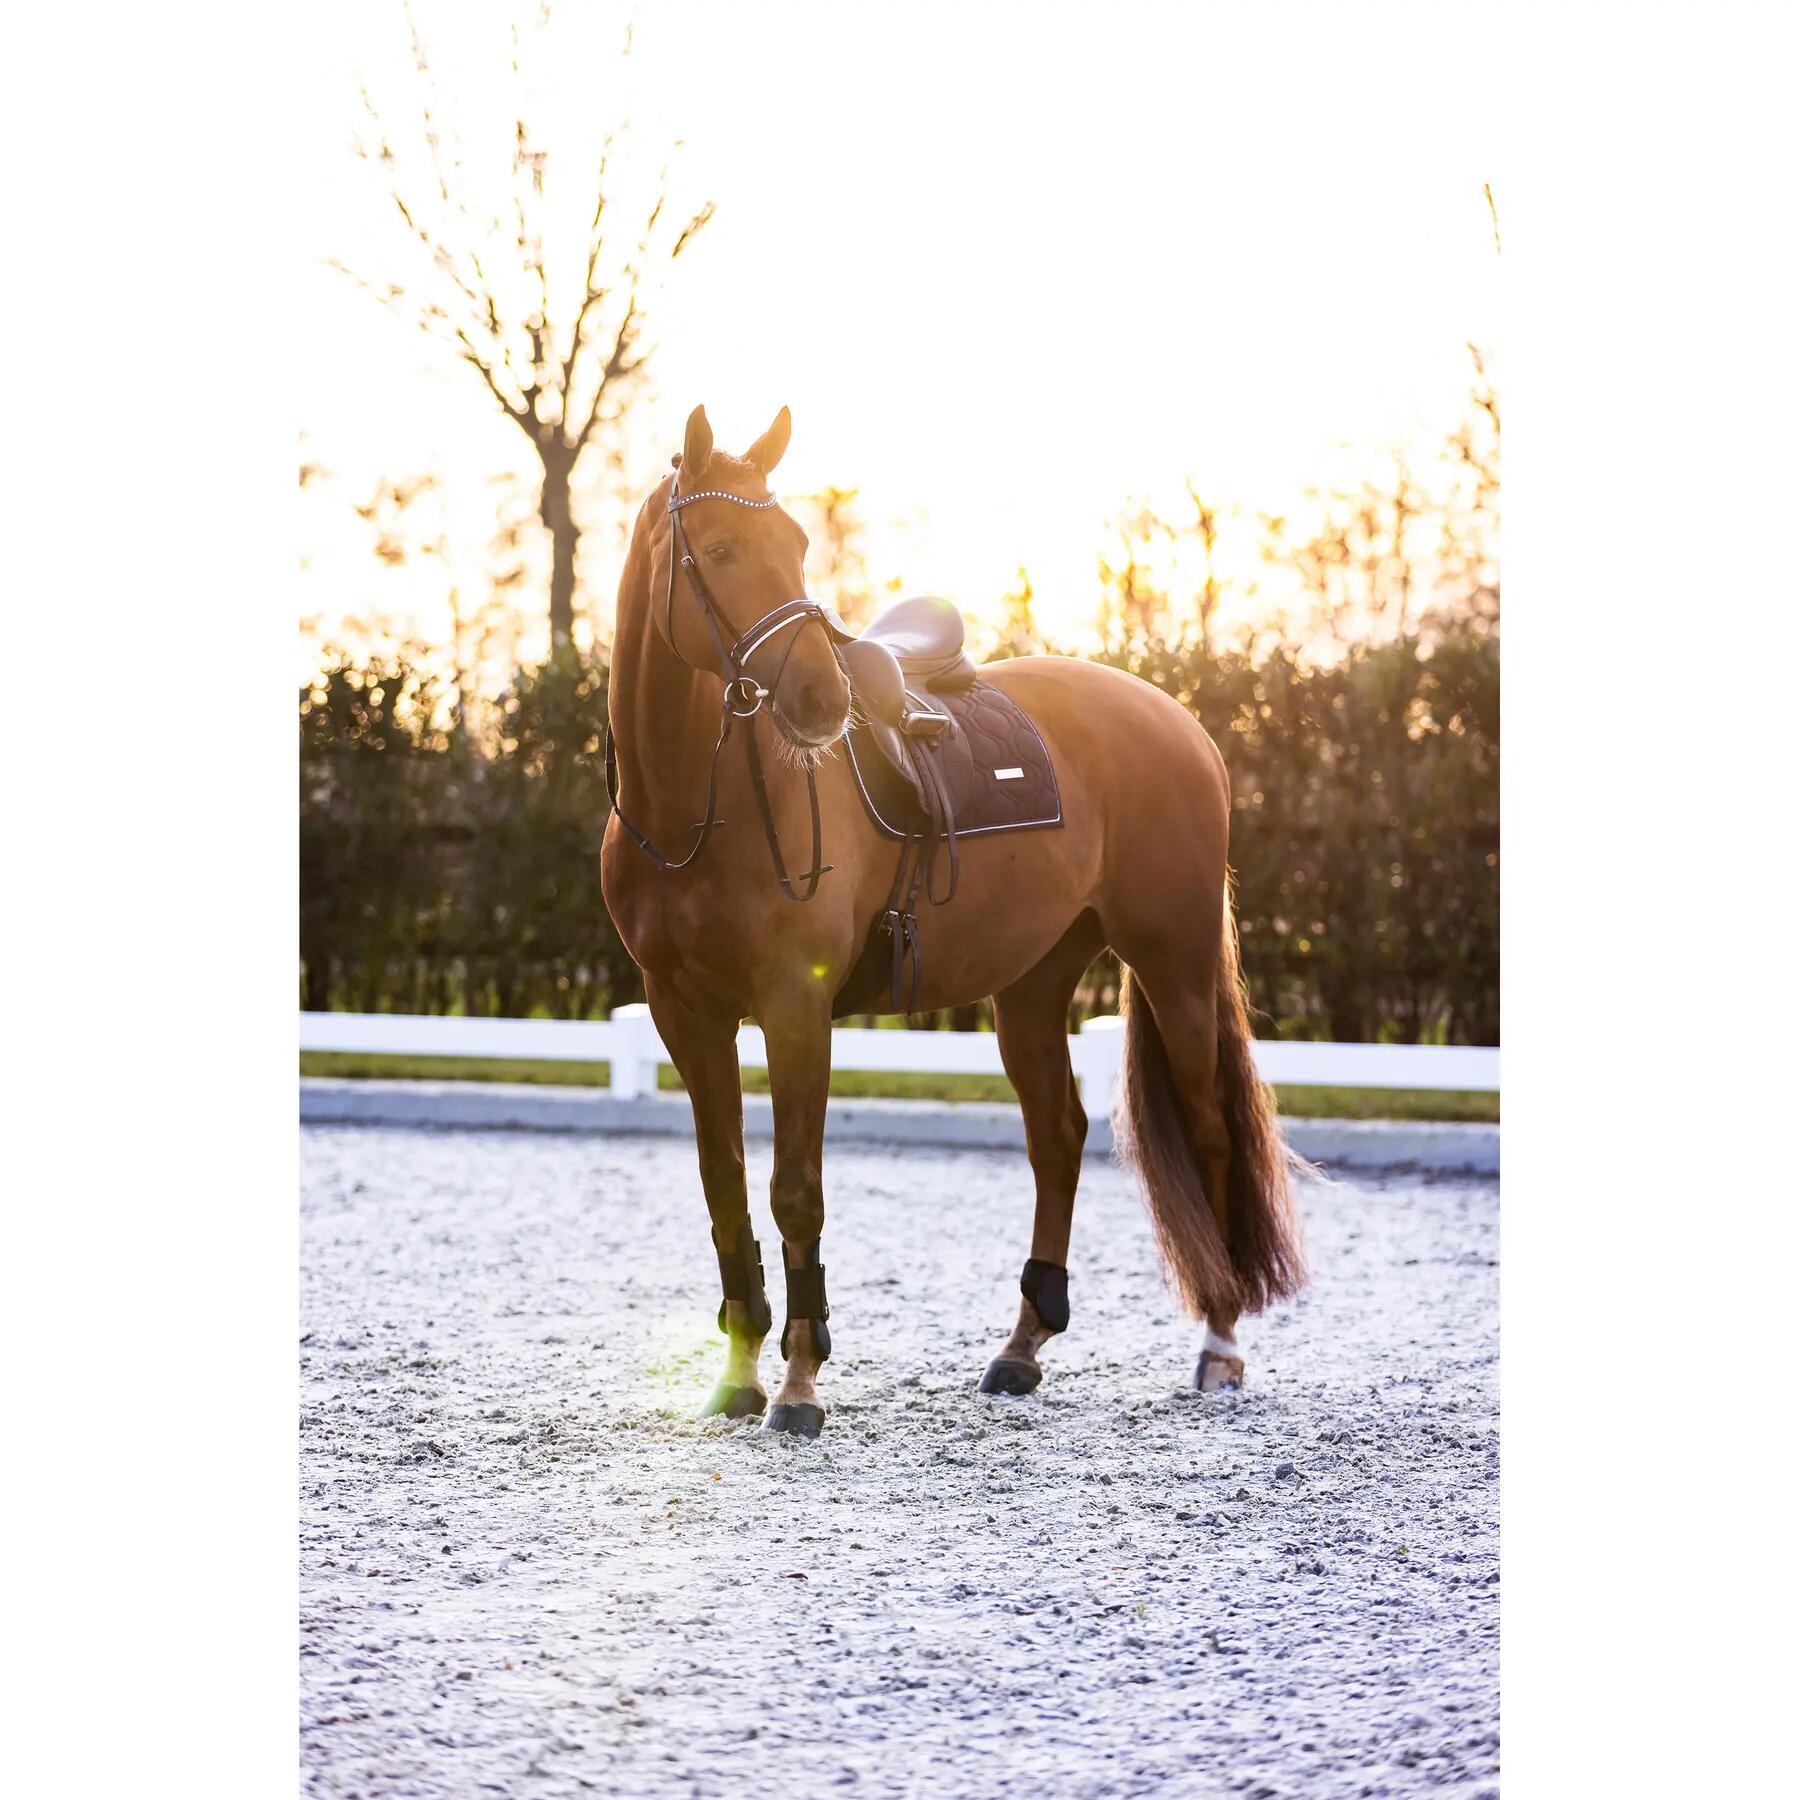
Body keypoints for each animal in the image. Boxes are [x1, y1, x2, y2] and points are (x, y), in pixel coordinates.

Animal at [600, 405, 1306, 1437]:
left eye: (797, 545)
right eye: (722, 550)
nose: (822, 701)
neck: (700, 808)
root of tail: (1179, 721)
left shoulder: (794, 1008)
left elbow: (795, 1189)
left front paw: (801, 1384)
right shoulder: (683, 1013)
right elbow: (725, 1186)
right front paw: (738, 1375)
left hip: (1171, 961)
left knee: (1208, 1128)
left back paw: (1218, 1343)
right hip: (1035, 984)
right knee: (1059, 1136)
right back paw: (1023, 1345)